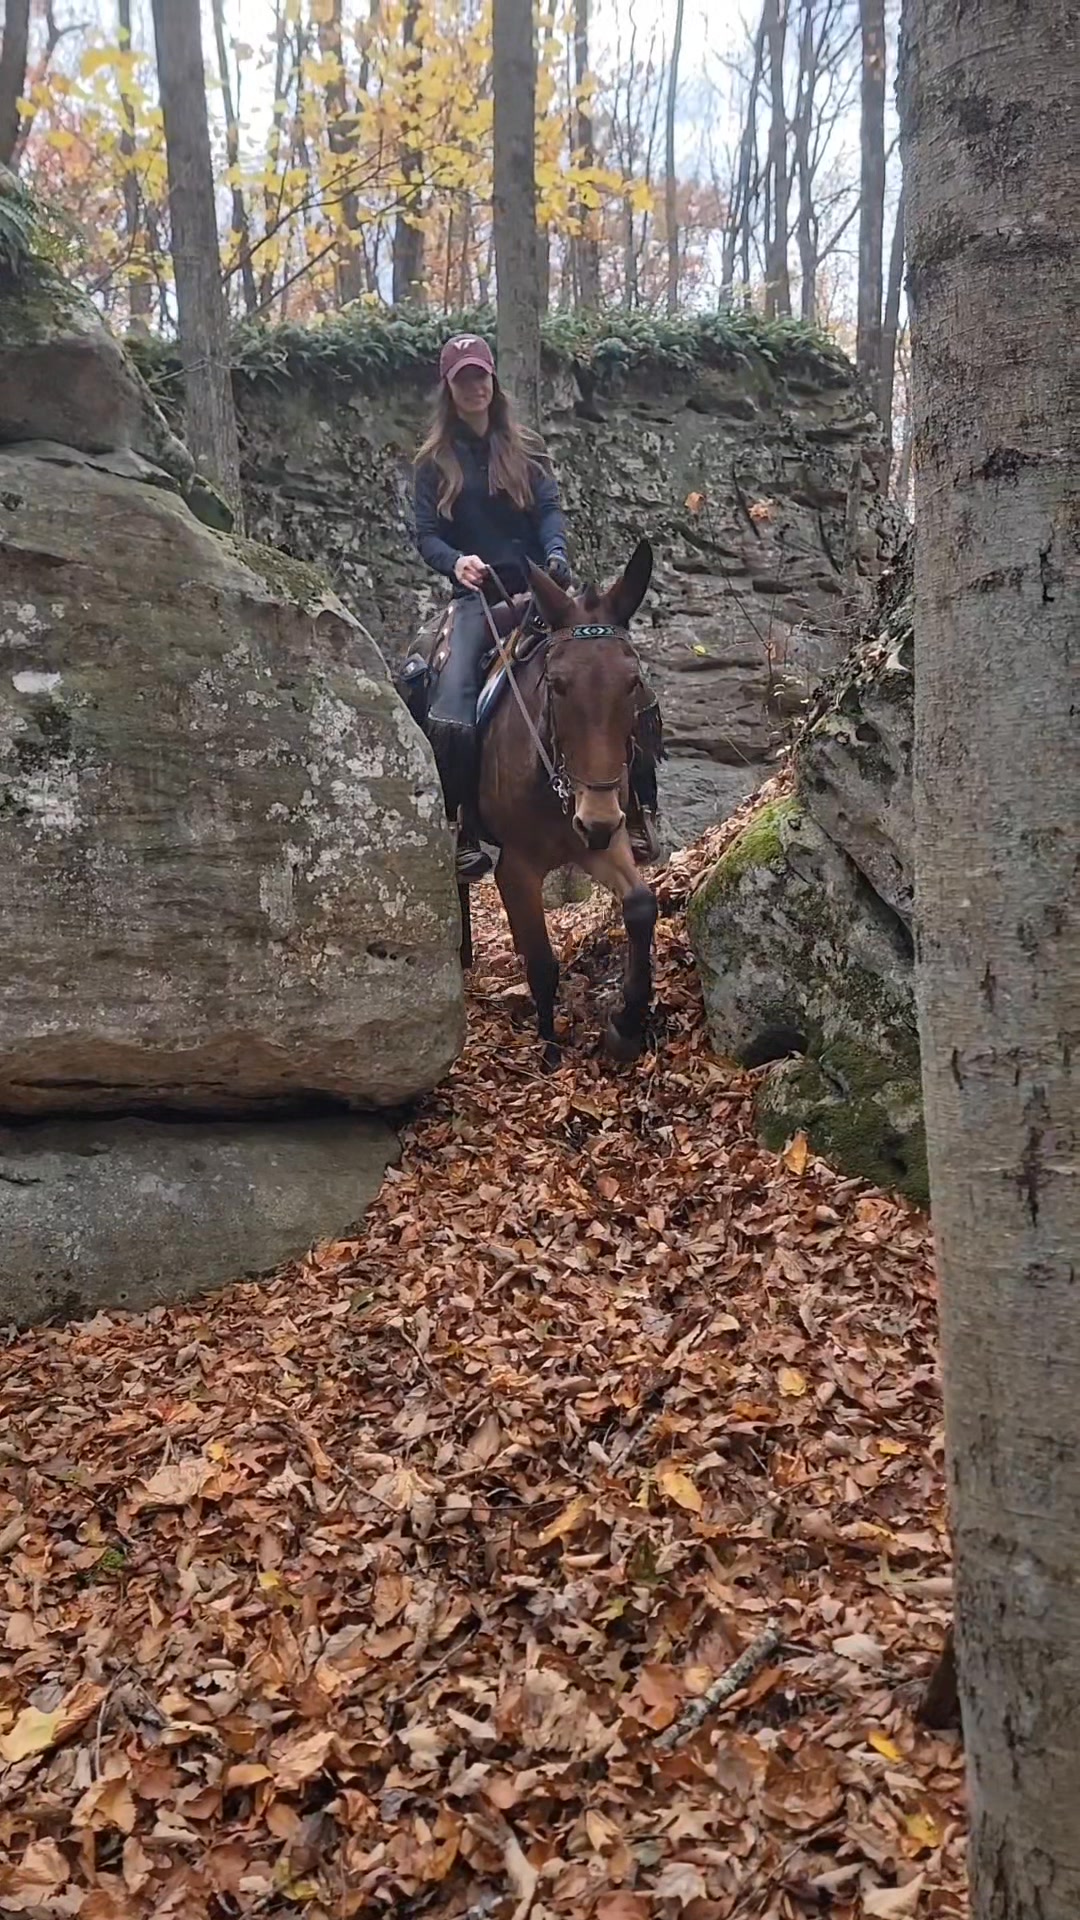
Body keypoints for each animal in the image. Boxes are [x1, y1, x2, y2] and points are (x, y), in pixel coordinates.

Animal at [472, 539, 660, 1070]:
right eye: (555, 684)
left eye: (633, 682)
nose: (594, 820)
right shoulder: (516, 867)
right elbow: (541, 961)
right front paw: (550, 1050)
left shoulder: (602, 842)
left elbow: (641, 906)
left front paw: (625, 1025)